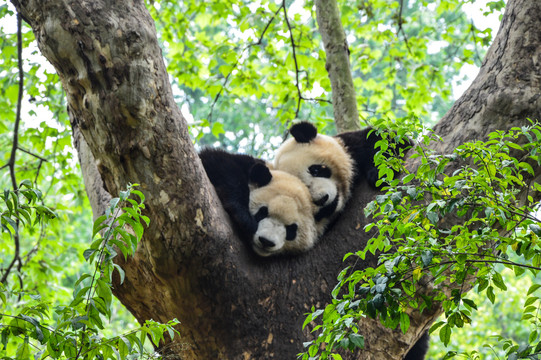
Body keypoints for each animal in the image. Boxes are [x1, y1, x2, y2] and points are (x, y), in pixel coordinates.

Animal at [274, 122, 410, 232]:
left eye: (315, 170)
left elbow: (387, 142)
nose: (323, 199)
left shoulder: (354, 144)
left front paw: (379, 174)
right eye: (304, 190)